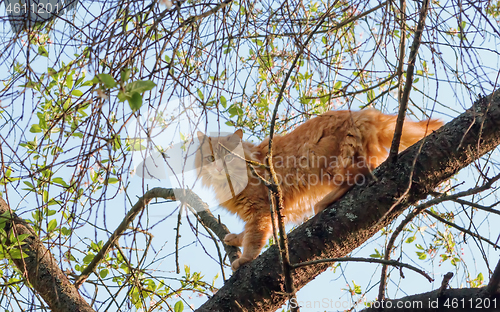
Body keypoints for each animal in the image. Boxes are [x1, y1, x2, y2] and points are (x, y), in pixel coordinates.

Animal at [195, 109, 442, 270]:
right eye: (211, 158)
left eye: (228, 157)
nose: (218, 166)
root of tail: (364, 113)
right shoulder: (268, 212)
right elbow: (247, 232)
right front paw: (235, 238)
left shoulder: (262, 210)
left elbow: (254, 237)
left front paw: (245, 259)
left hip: (325, 164)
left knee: (362, 174)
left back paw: (322, 203)